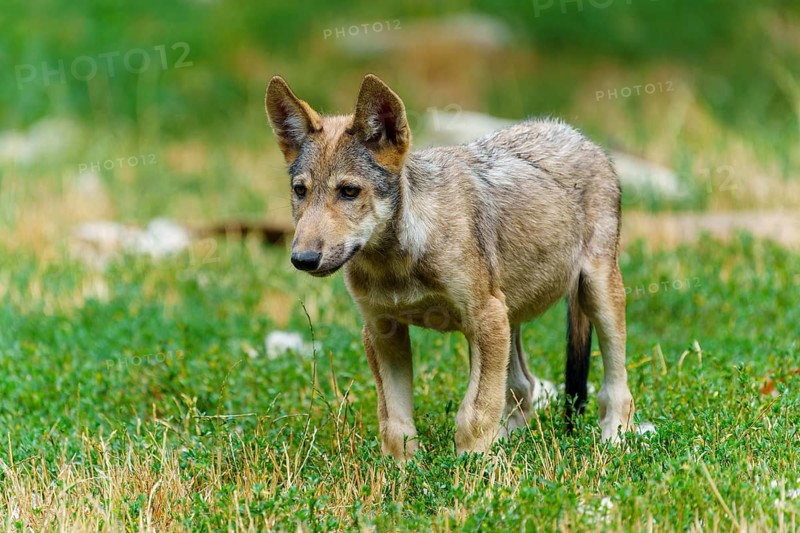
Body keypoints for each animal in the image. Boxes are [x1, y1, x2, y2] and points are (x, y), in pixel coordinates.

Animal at [265, 74, 635, 458]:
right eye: (300, 191)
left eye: (349, 191)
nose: (303, 259)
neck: (397, 263)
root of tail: (577, 134)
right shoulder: (382, 330)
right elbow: (394, 423)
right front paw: (403, 470)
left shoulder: (484, 319)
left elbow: (474, 414)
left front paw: (470, 469)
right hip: (510, 315)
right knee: (523, 385)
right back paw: (512, 444)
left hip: (595, 295)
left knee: (616, 389)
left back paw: (614, 442)